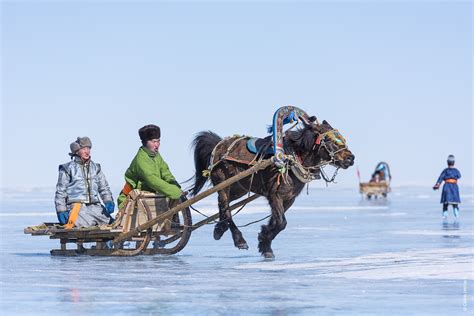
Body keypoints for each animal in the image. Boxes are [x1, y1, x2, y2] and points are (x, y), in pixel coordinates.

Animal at [191, 117, 354, 258]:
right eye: (330, 140)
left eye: (342, 138)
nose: (350, 158)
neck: (292, 159)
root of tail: (219, 144)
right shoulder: (275, 195)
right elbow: (281, 222)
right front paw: (264, 241)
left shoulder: (289, 199)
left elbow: (276, 222)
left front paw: (264, 242)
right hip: (223, 182)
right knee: (225, 207)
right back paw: (239, 240)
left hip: (239, 188)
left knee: (223, 206)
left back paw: (219, 229)